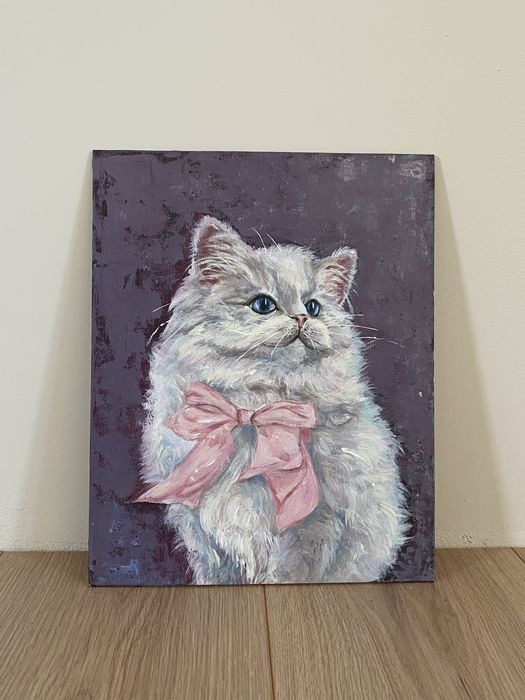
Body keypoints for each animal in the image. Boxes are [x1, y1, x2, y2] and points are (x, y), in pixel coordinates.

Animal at [140, 216, 408, 584]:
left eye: (314, 307)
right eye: (263, 305)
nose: (302, 318)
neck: (255, 408)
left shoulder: (310, 533)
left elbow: (285, 576)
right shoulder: (205, 540)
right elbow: (214, 576)